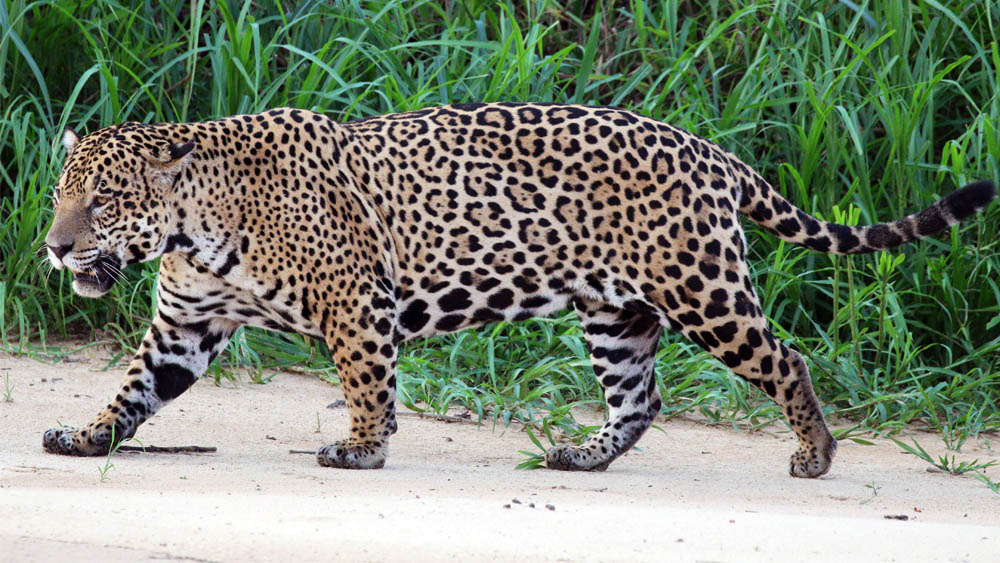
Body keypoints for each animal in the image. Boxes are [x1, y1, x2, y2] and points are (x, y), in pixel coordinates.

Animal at [43, 103, 996, 476]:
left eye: (105, 201)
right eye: (60, 195)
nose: (53, 248)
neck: (197, 224)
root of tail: (708, 149)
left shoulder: (357, 302)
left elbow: (367, 382)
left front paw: (363, 447)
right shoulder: (185, 325)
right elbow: (133, 390)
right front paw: (86, 438)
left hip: (703, 288)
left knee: (786, 357)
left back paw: (814, 453)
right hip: (617, 312)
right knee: (640, 397)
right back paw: (583, 455)